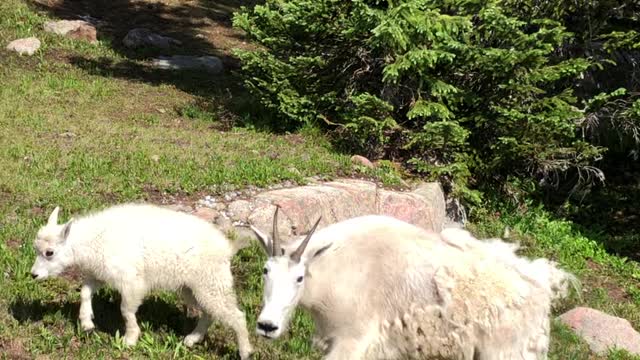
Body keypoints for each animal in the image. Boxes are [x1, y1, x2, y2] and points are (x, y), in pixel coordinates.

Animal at [30, 204, 254, 358]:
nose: (33, 275)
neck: (94, 241)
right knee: (209, 312)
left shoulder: (131, 281)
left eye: (49, 252)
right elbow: (85, 291)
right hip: (193, 287)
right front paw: (87, 323)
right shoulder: (101, 273)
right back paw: (192, 339)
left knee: (236, 316)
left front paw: (130, 339)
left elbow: (126, 310)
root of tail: (227, 249)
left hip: (212, 282)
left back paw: (245, 352)